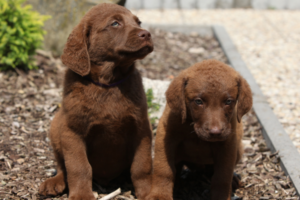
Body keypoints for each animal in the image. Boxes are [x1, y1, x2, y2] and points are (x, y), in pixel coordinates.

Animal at [38, 3, 154, 200]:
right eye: (115, 23)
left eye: (138, 22)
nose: (146, 34)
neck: (108, 83)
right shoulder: (72, 131)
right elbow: (78, 167)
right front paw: (81, 195)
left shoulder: (142, 129)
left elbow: (141, 166)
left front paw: (149, 193)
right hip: (56, 126)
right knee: (62, 166)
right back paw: (53, 183)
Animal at [146, 59, 252, 200]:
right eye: (198, 101)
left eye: (229, 101)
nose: (215, 132)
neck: (194, 132)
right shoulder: (166, 136)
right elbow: (163, 169)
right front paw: (159, 195)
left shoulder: (227, 145)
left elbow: (222, 177)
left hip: (238, 149)